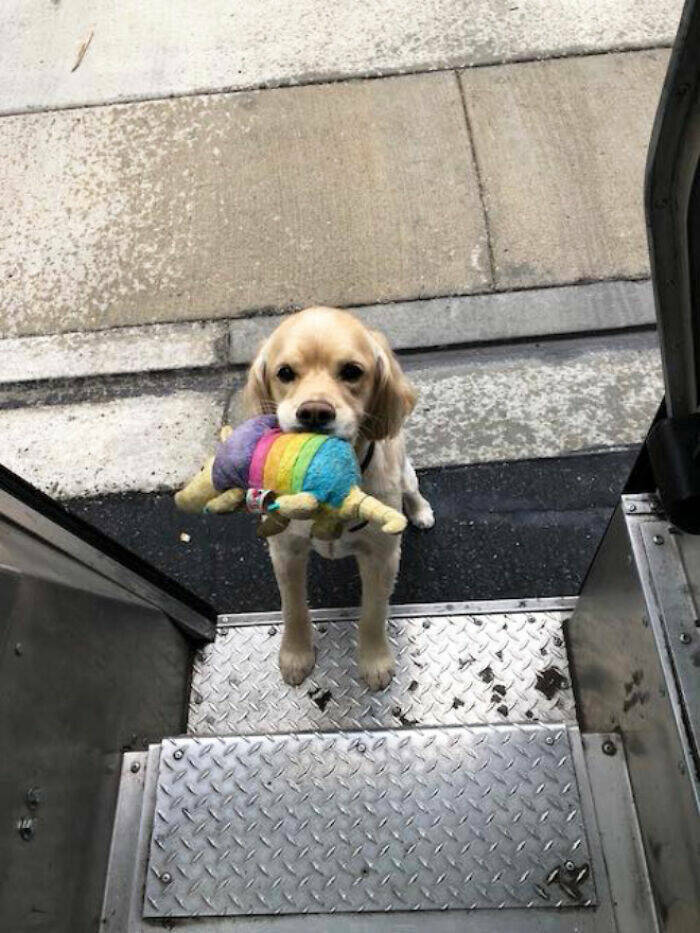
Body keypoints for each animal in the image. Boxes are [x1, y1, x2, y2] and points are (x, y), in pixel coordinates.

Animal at [243, 308, 434, 692]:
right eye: (285, 373)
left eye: (352, 371)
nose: (315, 412)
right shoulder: (284, 551)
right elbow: (293, 608)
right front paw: (296, 656)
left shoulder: (382, 556)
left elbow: (374, 613)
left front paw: (375, 662)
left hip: (405, 470)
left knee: (413, 488)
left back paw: (421, 512)